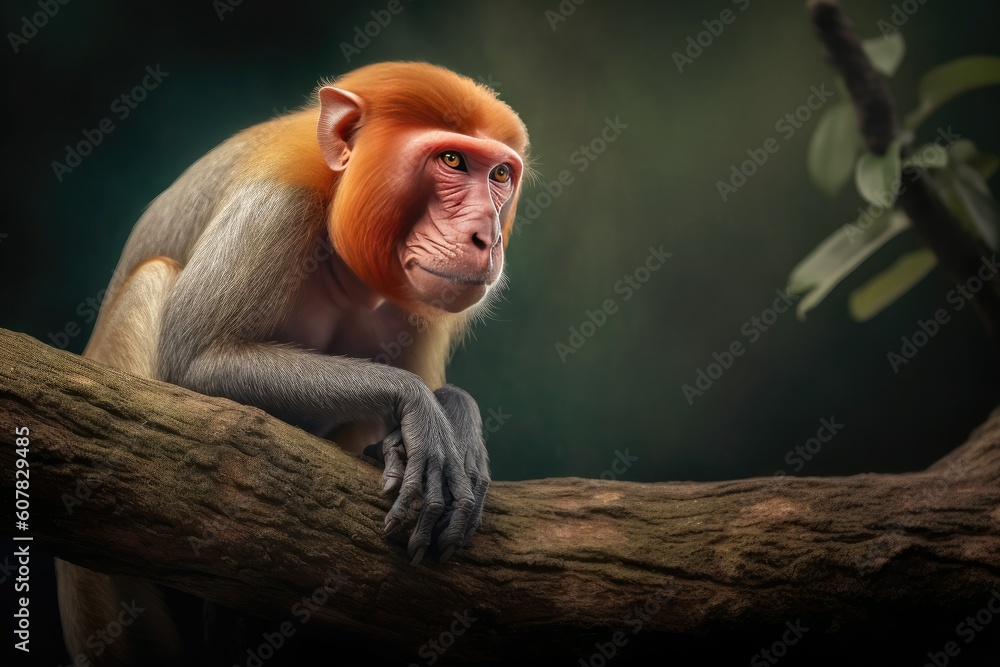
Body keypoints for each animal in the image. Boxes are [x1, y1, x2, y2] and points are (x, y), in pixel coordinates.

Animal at [54, 61, 529, 664]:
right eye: (451, 161)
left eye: (500, 174)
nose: (485, 237)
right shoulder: (277, 205)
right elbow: (198, 362)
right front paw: (419, 407)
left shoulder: (417, 306)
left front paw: (455, 417)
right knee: (153, 280)